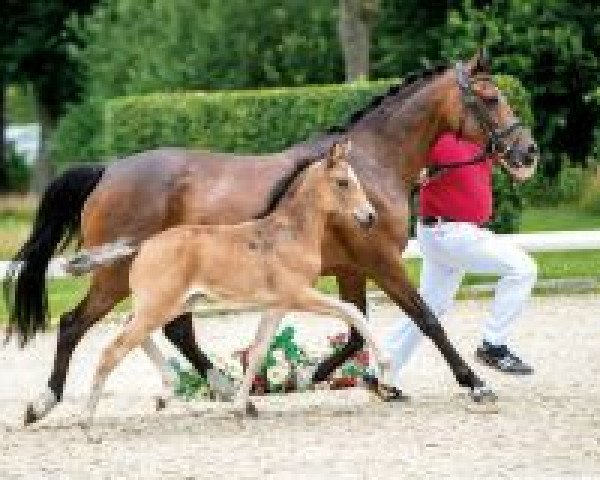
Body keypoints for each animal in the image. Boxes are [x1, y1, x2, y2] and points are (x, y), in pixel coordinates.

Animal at [75, 141, 390, 436]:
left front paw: (240, 406)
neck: (289, 234)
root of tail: (143, 246)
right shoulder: (298, 294)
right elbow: (352, 311)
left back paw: (166, 391)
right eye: (343, 182)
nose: (370, 217)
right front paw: (386, 370)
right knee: (113, 351)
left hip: (166, 304)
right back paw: (88, 425)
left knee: (132, 333)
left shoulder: (276, 305)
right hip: (159, 306)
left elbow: (258, 351)